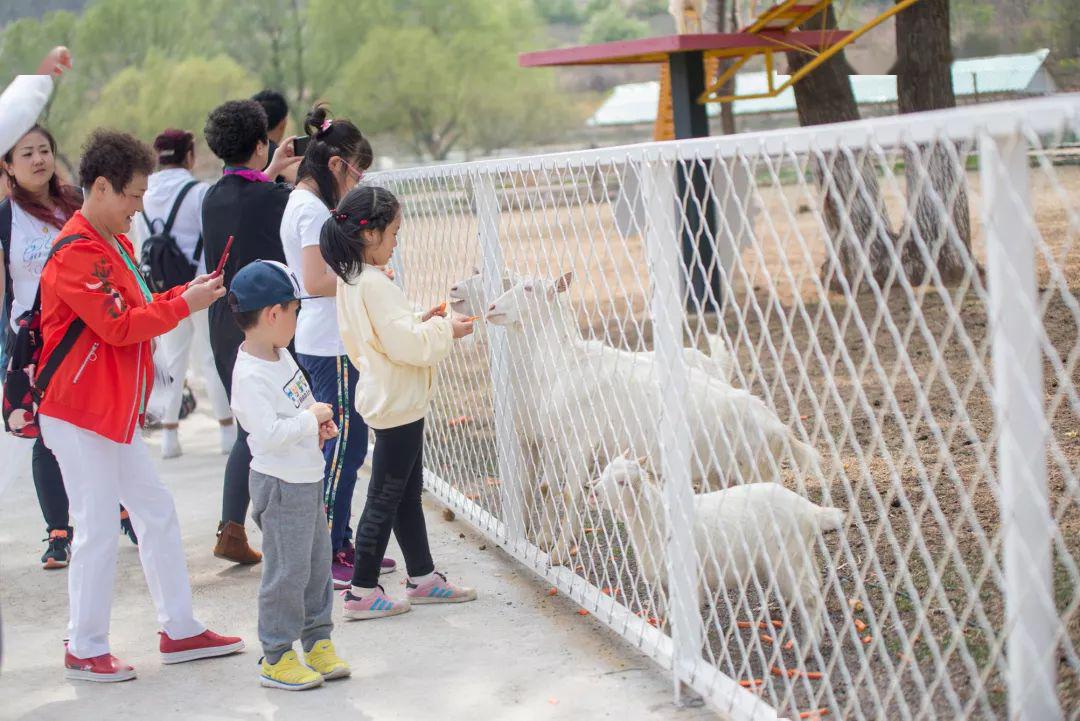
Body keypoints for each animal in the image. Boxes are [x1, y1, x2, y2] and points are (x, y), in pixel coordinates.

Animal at [483, 273, 816, 561]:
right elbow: (548, 488)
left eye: (529, 288)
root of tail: (778, 429)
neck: (565, 364)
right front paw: (541, 542)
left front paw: (558, 554)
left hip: (755, 469)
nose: (491, 308)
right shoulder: (554, 440)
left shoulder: (580, 441)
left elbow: (567, 494)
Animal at [591, 453, 842, 643]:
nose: (593, 491)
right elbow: (664, 613)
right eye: (604, 472)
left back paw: (810, 644)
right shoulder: (663, 579)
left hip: (786, 558)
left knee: (809, 596)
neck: (657, 520)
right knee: (816, 585)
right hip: (801, 553)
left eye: (623, 482)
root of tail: (810, 510)